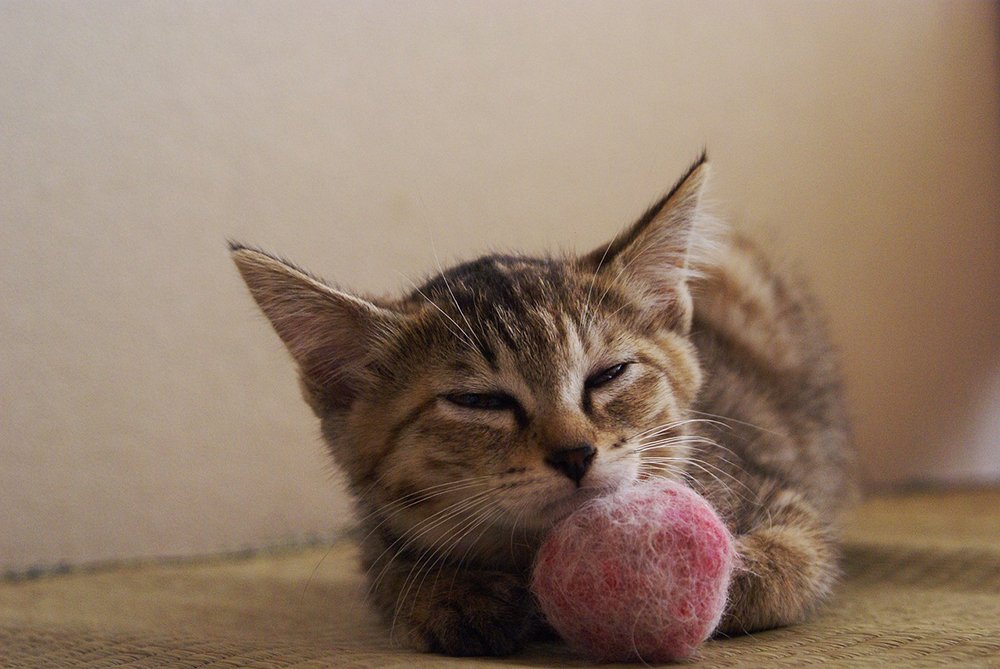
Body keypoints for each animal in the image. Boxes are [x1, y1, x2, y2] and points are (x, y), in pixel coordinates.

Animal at [230, 154, 856, 656]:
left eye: (610, 374)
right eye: (478, 400)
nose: (575, 453)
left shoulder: (778, 491)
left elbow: (796, 558)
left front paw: (731, 573)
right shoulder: (375, 529)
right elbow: (388, 569)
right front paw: (448, 594)